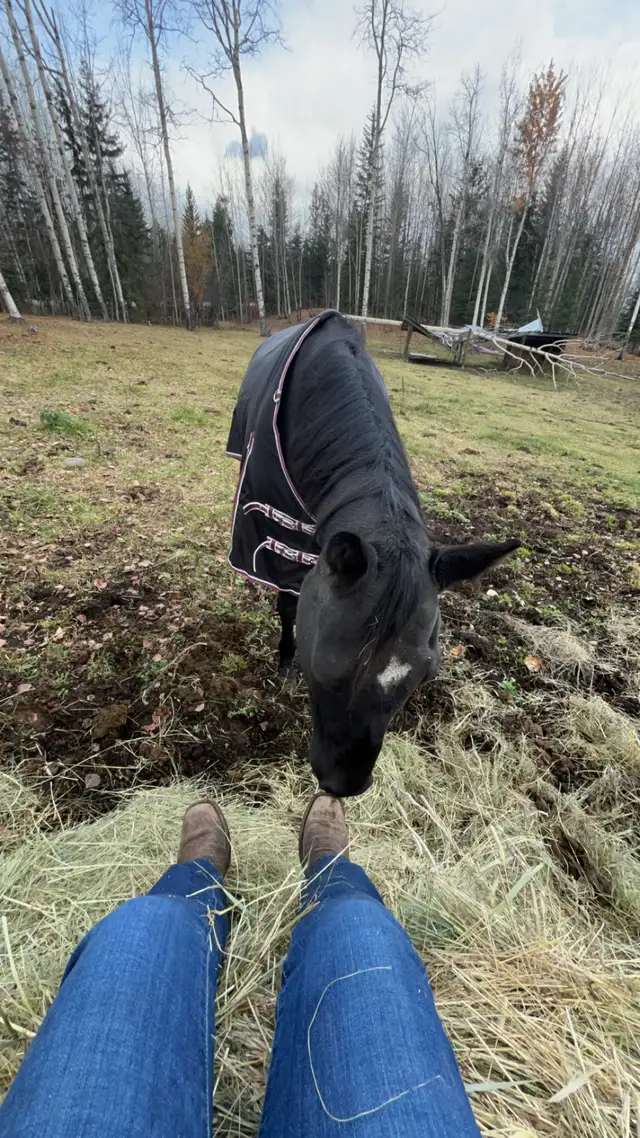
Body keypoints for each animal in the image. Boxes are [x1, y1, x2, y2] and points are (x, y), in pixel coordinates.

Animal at [226, 310, 519, 797]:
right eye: (325, 663)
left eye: (425, 672)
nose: (344, 783)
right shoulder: (274, 534)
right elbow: (286, 601)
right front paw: (285, 664)